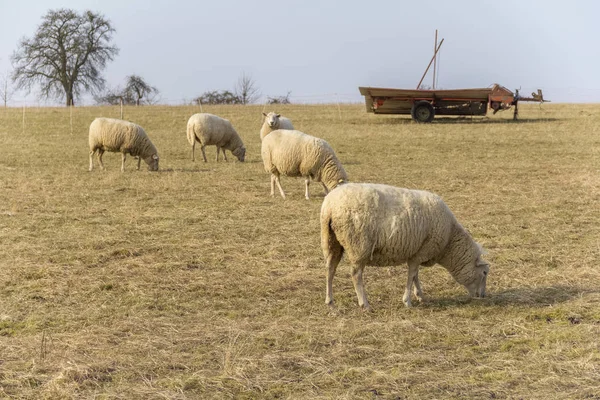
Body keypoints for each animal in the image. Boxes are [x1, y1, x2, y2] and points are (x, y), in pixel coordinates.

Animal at [322, 183, 490, 310]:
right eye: (485, 273)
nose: (482, 296)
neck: (449, 242)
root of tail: (330, 206)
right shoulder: (421, 252)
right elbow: (412, 275)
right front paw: (408, 301)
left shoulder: (417, 252)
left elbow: (415, 275)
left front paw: (420, 295)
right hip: (359, 245)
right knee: (356, 275)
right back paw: (365, 304)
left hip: (332, 241)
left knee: (330, 269)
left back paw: (330, 301)